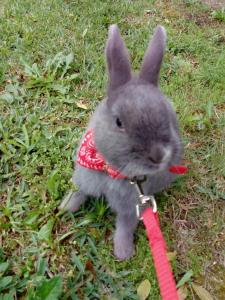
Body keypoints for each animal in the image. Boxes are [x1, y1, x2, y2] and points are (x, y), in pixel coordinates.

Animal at [60, 25, 183, 260]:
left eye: (169, 115)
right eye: (119, 122)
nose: (159, 155)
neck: (112, 170)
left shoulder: (131, 208)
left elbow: (125, 227)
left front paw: (123, 252)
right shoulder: (84, 178)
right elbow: (78, 192)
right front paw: (65, 208)